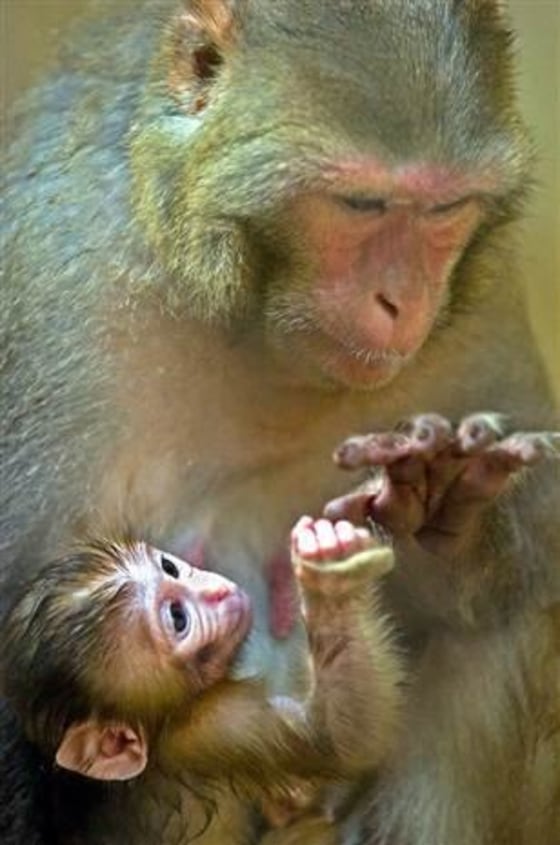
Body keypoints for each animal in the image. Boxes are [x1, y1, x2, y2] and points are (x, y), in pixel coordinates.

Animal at [0, 518, 401, 845]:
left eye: (169, 567)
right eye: (178, 618)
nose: (217, 593)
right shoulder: (209, 727)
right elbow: (340, 741)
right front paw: (329, 584)